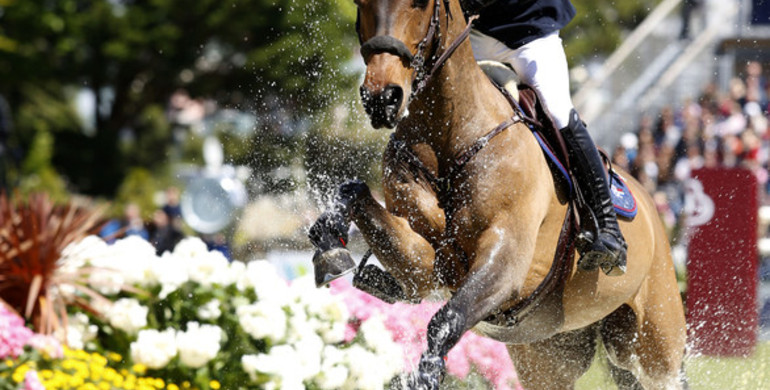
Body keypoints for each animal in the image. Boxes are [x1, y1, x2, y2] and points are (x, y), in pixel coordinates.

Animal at [306, 1, 684, 388]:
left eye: (421, 5)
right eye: (361, 5)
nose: (382, 98)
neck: (448, 135)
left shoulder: (506, 256)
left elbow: (446, 322)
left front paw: (426, 376)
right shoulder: (425, 265)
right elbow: (352, 193)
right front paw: (329, 245)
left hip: (656, 345)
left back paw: (609, 240)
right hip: (549, 357)